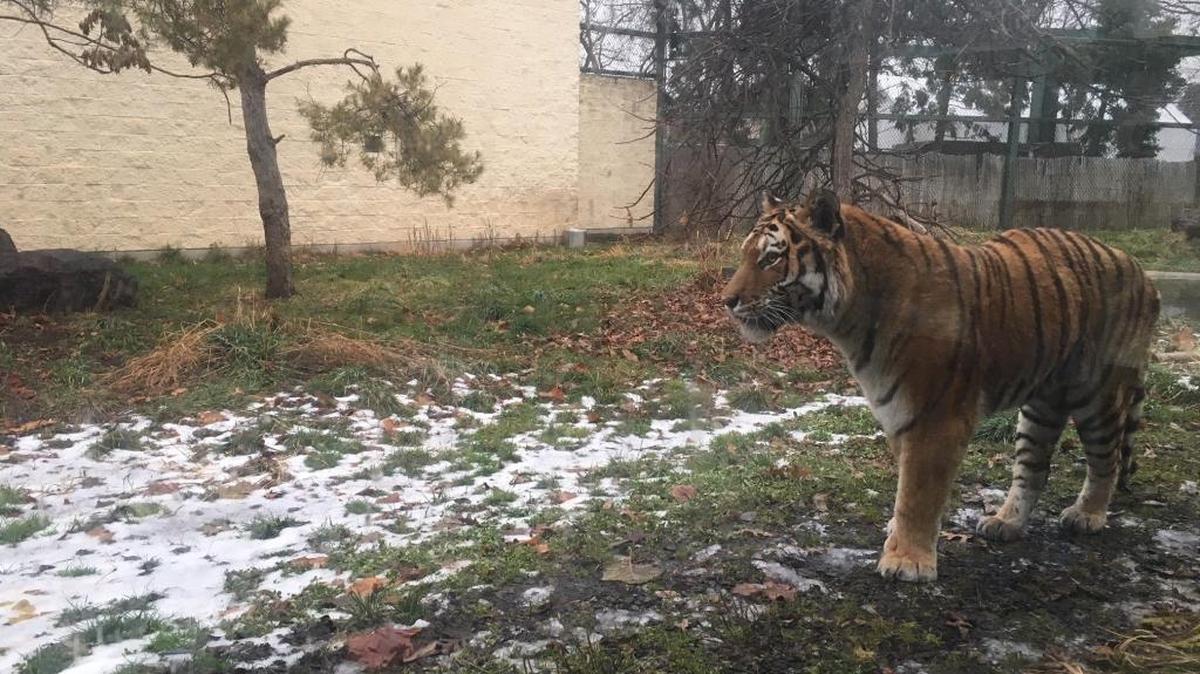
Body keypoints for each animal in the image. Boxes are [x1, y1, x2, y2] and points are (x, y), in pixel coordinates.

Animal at [722, 190, 1160, 582]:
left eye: (772, 257)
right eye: (746, 255)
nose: (727, 301)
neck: (850, 319)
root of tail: (1140, 269)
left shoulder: (935, 417)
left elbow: (918, 492)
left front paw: (907, 561)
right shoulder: (898, 412)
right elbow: (907, 486)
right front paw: (900, 540)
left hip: (1098, 394)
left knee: (1107, 459)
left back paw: (1087, 515)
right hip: (1042, 406)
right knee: (1034, 469)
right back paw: (1005, 523)